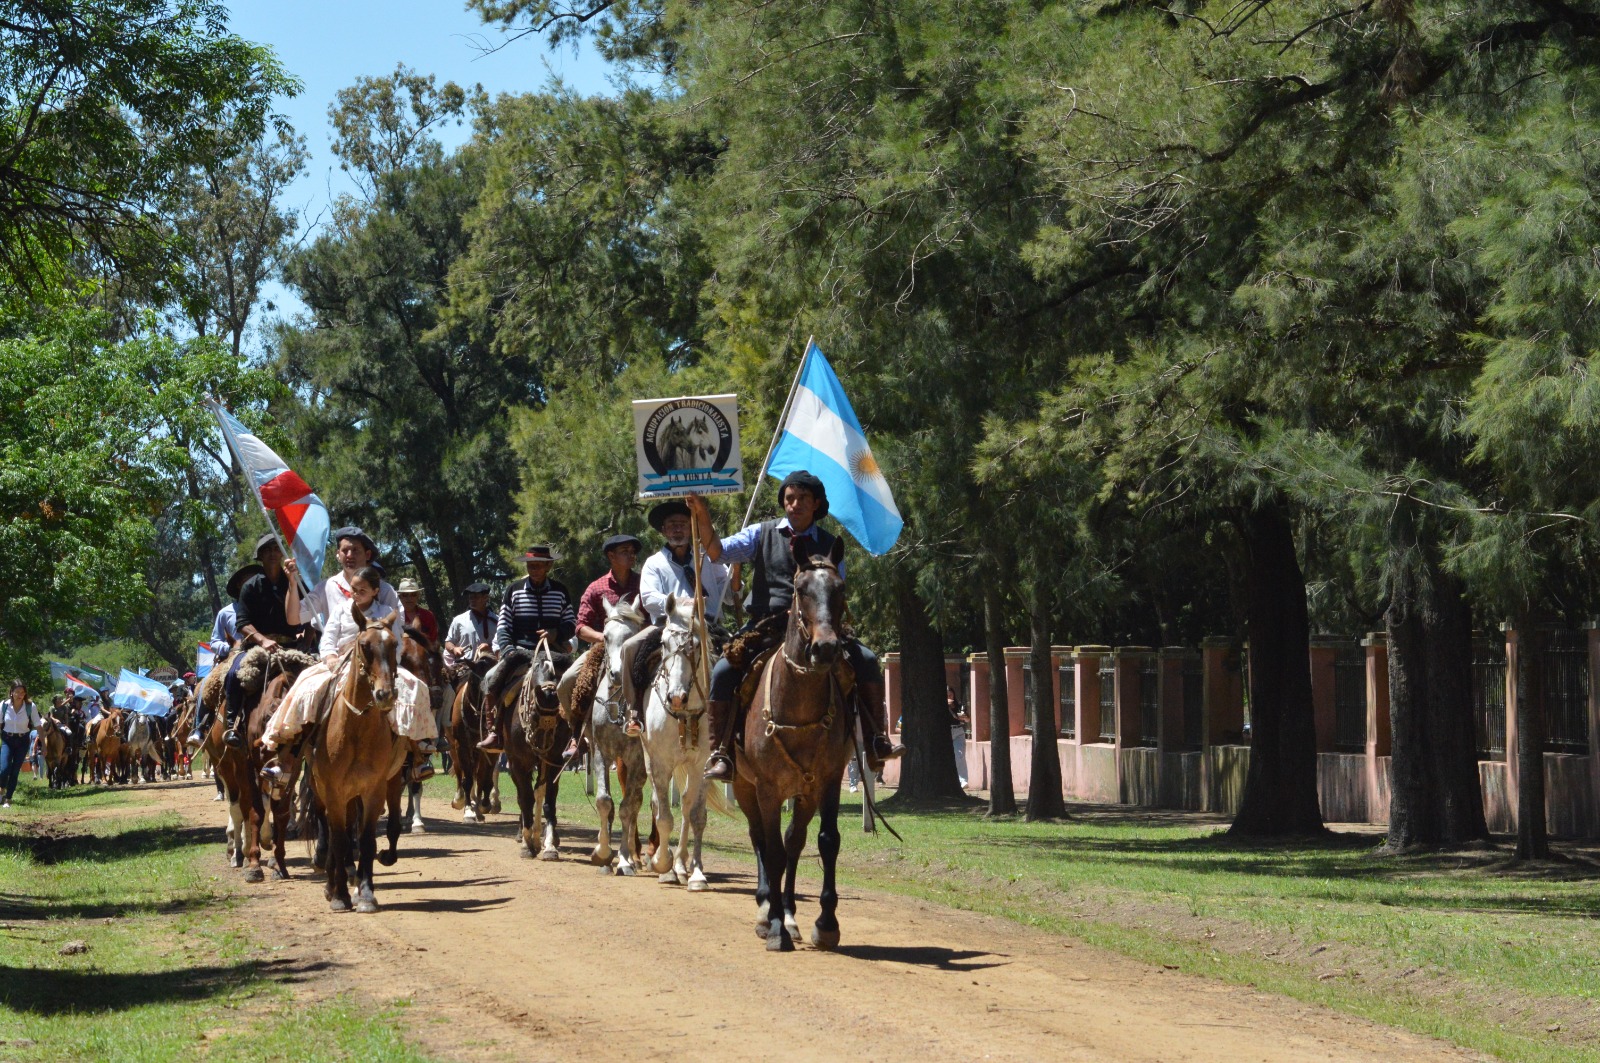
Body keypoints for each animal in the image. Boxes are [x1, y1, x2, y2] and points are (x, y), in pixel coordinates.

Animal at [307, 604, 410, 913]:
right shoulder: (333, 792)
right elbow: (340, 840)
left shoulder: (374, 789)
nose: (385, 694)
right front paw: (340, 894)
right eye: (364, 645)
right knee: (330, 832)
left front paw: (365, 894)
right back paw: (331, 884)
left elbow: (364, 840)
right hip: (322, 792)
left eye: (394, 644)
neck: (356, 727)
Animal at [447, 656, 501, 822]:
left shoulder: (491, 749)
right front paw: (469, 810)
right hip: (453, 746)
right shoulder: (462, 746)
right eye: (476, 682)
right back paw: (460, 800)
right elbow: (468, 778)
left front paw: (484, 805)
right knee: (460, 770)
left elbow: (486, 778)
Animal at [486, 641, 572, 859]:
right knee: (523, 795)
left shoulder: (554, 760)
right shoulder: (518, 762)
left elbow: (547, 799)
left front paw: (548, 845)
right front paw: (527, 844)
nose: (542, 742)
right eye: (533, 714)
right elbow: (525, 798)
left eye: (556, 718)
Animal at [578, 597, 650, 873]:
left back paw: (634, 855)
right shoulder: (600, 753)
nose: (617, 674)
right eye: (606, 636)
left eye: (632, 636)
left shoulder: (637, 760)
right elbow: (604, 801)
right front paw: (602, 852)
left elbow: (627, 807)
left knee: (636, 801)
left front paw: (625, 859)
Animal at [734, 535, 855, 951]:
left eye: (840, 588)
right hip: (743, 786)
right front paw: (773, 927)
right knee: (760, 838)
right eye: (801, 589)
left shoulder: (828, 782)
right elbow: (770, 850)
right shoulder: (768, 789)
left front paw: (827, 923)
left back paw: (787, 912)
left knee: (794, 842)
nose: (826, 648)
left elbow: (826, 841)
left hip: (804, 794)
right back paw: (765, 909)